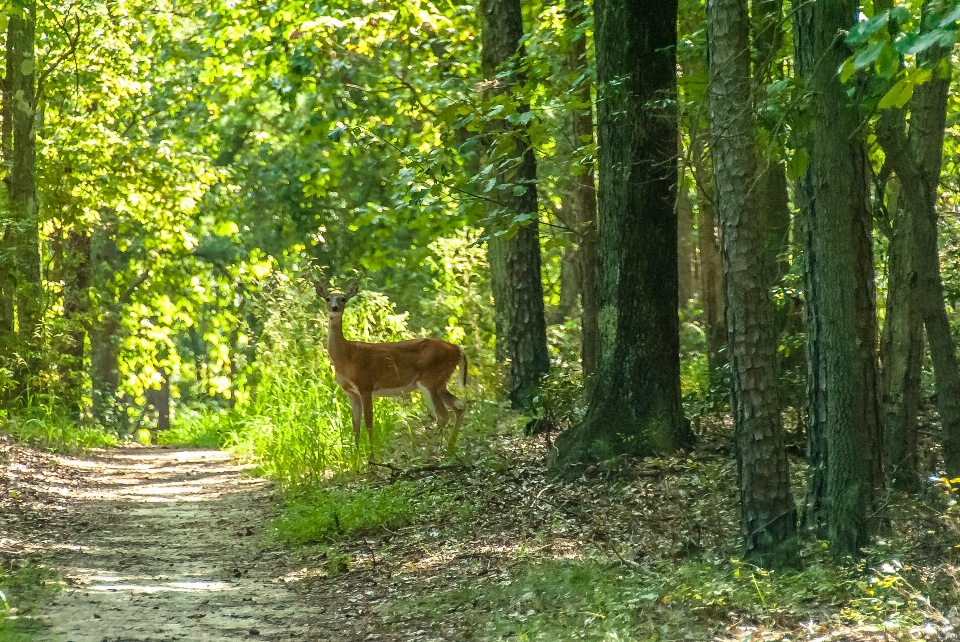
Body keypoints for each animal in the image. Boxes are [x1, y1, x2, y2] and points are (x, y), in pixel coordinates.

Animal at [316, 280, 468, 456]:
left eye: (343, 299)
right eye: (328, 298)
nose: (334, 308)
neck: (346, 356)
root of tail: (458, 349)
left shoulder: (365, 385)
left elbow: (369, 424)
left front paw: (371, 458)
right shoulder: (351, 392)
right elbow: (355, 427)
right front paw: (355, 459)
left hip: (430, 379)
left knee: (442, 415)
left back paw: (430, 452)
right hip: (440, 381)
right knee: (459, 406)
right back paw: (450, 448)